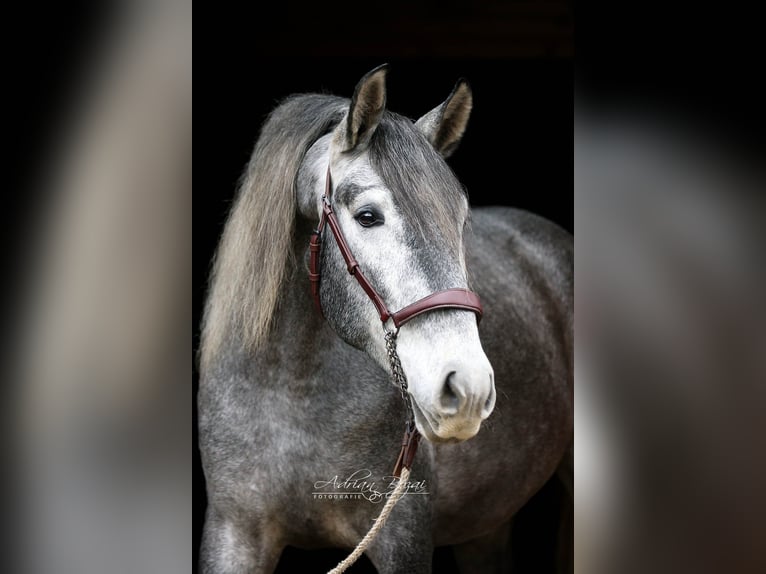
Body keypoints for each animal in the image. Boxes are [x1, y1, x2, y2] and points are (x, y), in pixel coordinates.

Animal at [197, 64, 573, 573]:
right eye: (368, 216)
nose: (468, 388)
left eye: (461, 221)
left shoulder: (403, 536)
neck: (290, 391)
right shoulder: (233, 535)